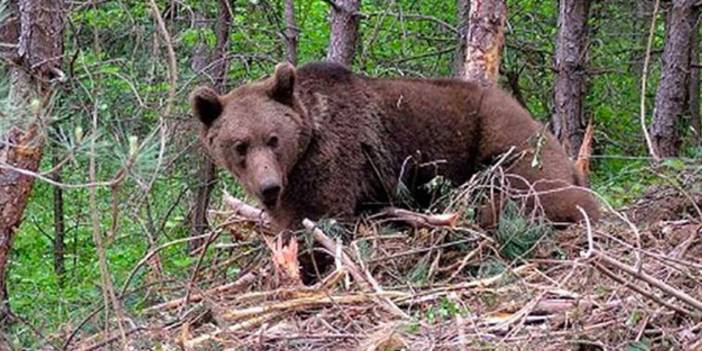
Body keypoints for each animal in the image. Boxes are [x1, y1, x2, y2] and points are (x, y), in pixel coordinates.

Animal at [194, 61, 604, 231]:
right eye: (239, 145)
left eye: (274, 139)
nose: (268, 187)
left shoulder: (335, 160)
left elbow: (321, 218)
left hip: (504, 140)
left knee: (534, 191)